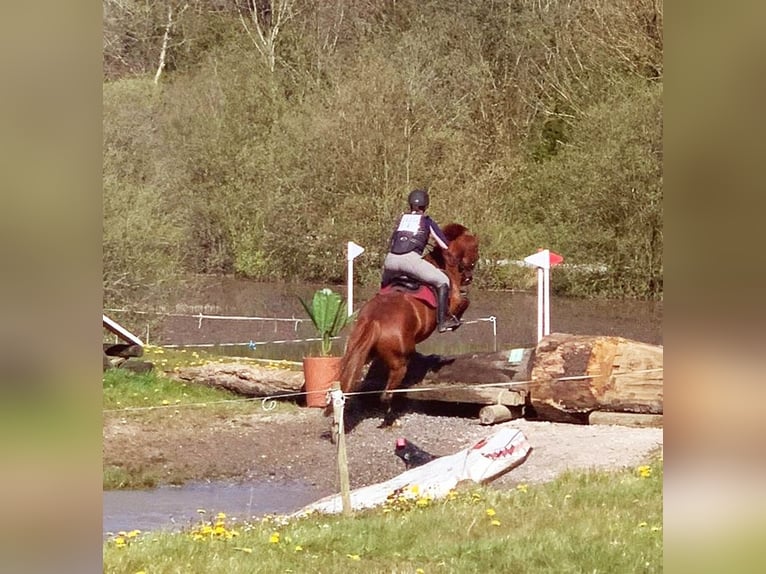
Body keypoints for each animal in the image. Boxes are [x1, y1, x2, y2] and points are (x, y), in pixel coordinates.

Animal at [338, 225, 476, 428]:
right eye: (476, 248)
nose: (468, 278)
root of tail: (374, 320)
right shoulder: (455, 299)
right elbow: (464, 302)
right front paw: (452, 323)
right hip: (400, 364)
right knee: (386, 395)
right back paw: (390, 420)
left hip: (361, 351)